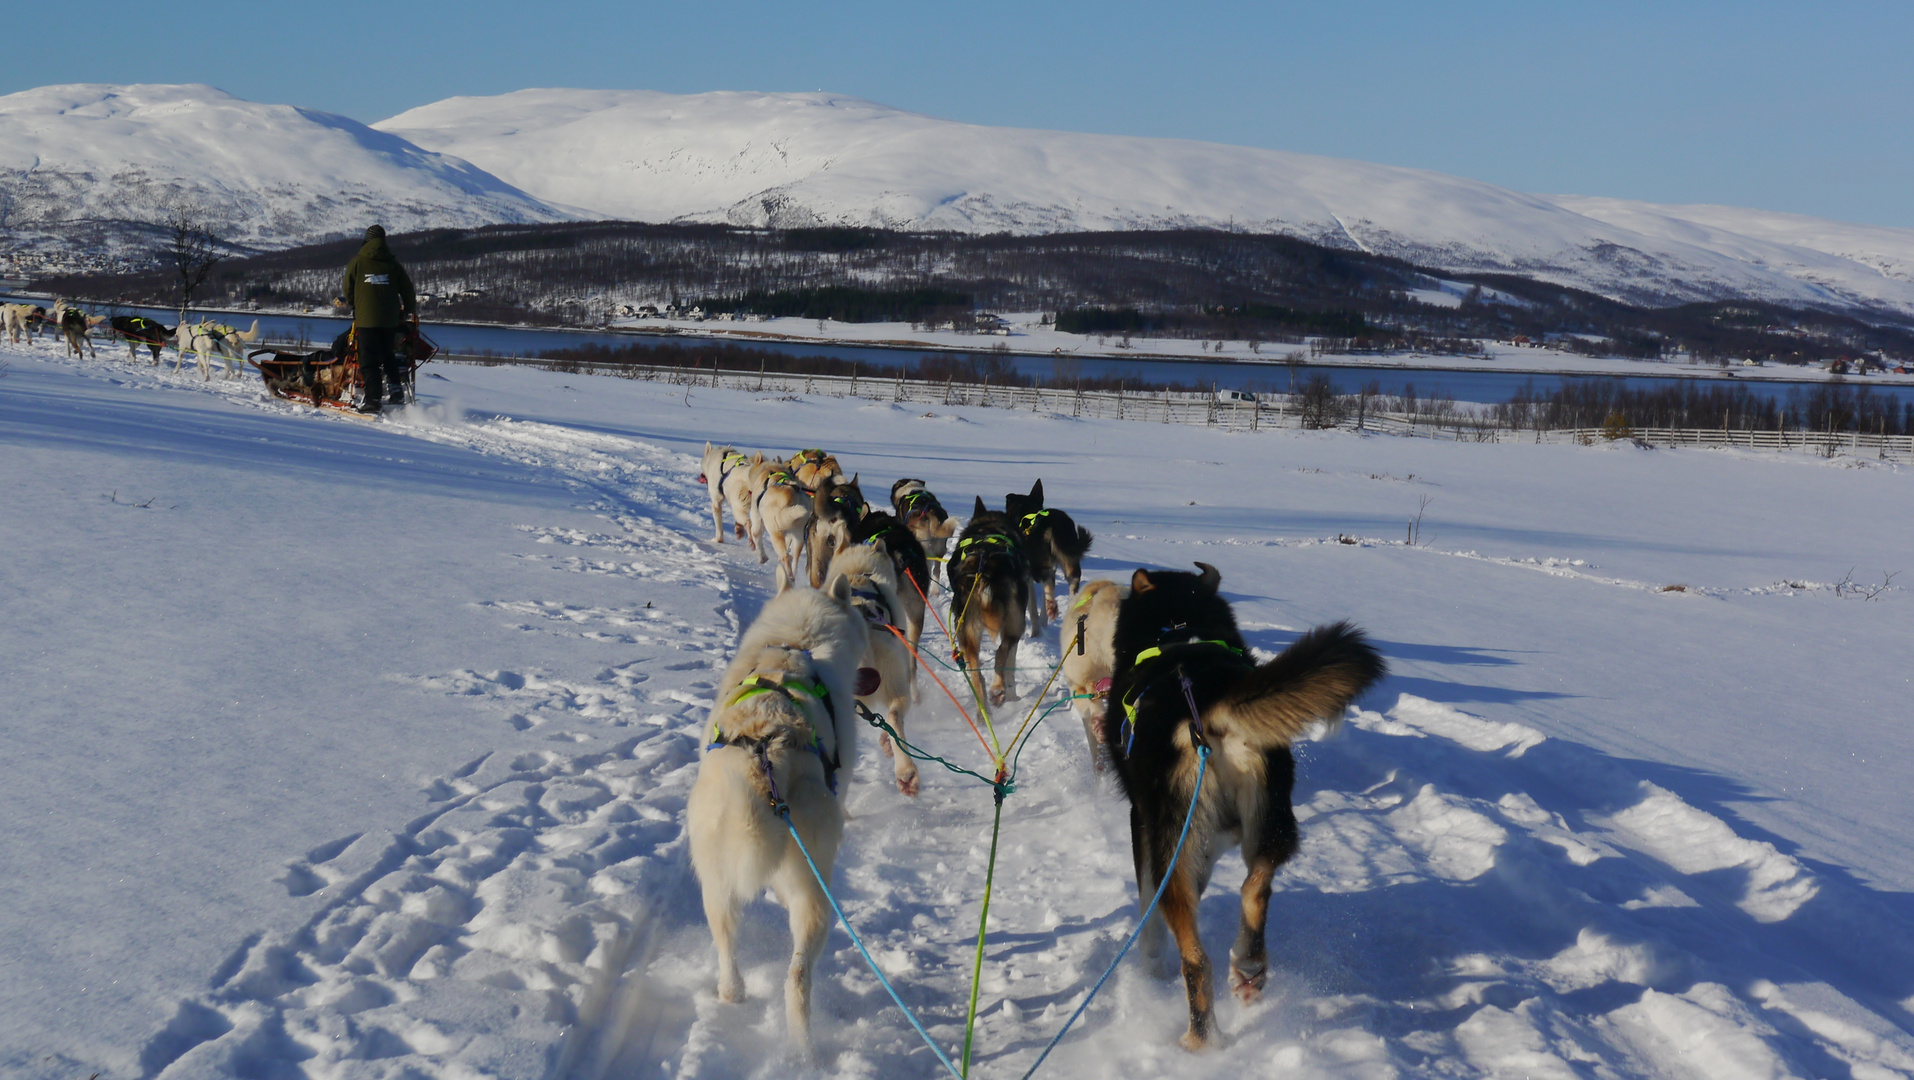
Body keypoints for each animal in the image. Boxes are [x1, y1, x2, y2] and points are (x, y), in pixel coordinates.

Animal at [689, 578, 868, 1057]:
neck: (795, 641)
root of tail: (767, 749)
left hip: (716, 884)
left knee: (738, 955)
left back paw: (738, 999)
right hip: (815, 894)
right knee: (798, 977)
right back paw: (803, 1054)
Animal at [945, 501, 1033, 708]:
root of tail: (984, 570)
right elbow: (1010, 665)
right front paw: (1012, 694)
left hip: (966, 632)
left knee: (977, 675)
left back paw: (984, 706)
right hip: (1014, 624)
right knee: (1001, 652)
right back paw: (998, 691)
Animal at [1002, 478, 1094, 624]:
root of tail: (1053, 523)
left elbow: (1032, 607)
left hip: (1038, 567)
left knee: (1047, 581)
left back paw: (1052, 606)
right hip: (1069, 562)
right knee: (1072, 581)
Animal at [1102, 562, 1385, 1049]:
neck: (1179, 628)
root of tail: (1205, 704)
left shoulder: (1144, 826)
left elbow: (1149, 913)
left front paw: (1150, 966)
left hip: (1173, 846)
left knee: (1196, 959)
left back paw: (1199, 1041)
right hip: (1272, 822)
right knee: (1257, 885)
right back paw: (1249, 967)